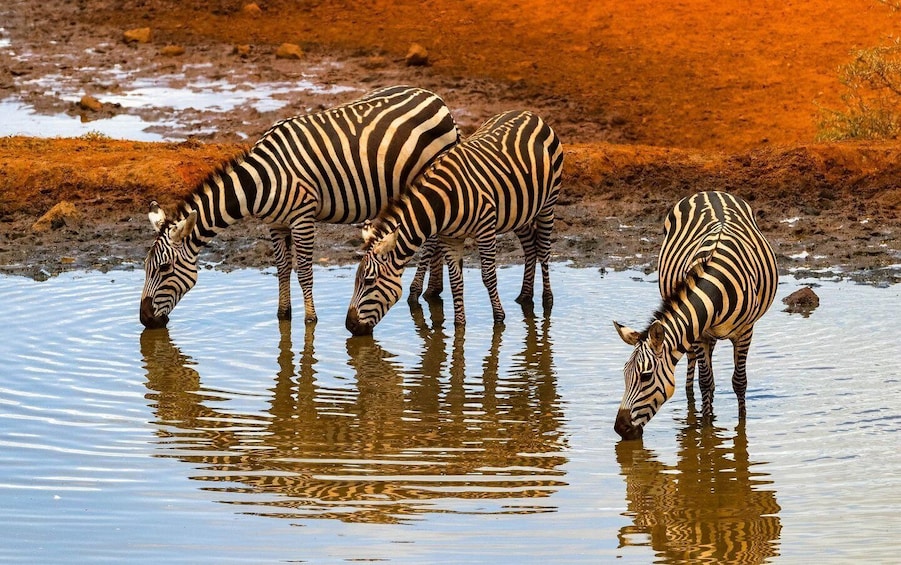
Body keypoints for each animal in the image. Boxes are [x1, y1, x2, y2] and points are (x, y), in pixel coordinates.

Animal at [143, 85, 460, 328]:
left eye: (164, 268)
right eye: (145, 267)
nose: (145, 319)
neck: (261, 181)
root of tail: (436, 98)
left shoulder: (302, 217)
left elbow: (305, 271)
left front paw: (310, 320)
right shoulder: (275, 223)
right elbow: (283, 268)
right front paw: (284, 314)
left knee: (432, 240)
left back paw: (419, 292)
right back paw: (433, 291)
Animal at [344, 110, 564, 334]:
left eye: (369, 281)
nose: (349, 325)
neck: (441, 202)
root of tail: (529, 113)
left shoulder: (485, 228)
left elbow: (488, 277)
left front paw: (499, 318)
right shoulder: (449, 238)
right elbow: (456, 282)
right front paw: (459, 325)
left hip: (548, 202)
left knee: (544, 249)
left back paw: (547, 301)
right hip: (519, 210)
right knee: (530, 245)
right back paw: (525, 296)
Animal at [612, 192, 780, 438]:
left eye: (646, 376)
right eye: (624, 374)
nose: (620, 428)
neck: (717, 288)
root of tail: (709, 192)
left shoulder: (745, 332)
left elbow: (739, 382)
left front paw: (740, 427)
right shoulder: (699, 333)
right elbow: (706, 381)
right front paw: (706, 426)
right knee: (694, 367)